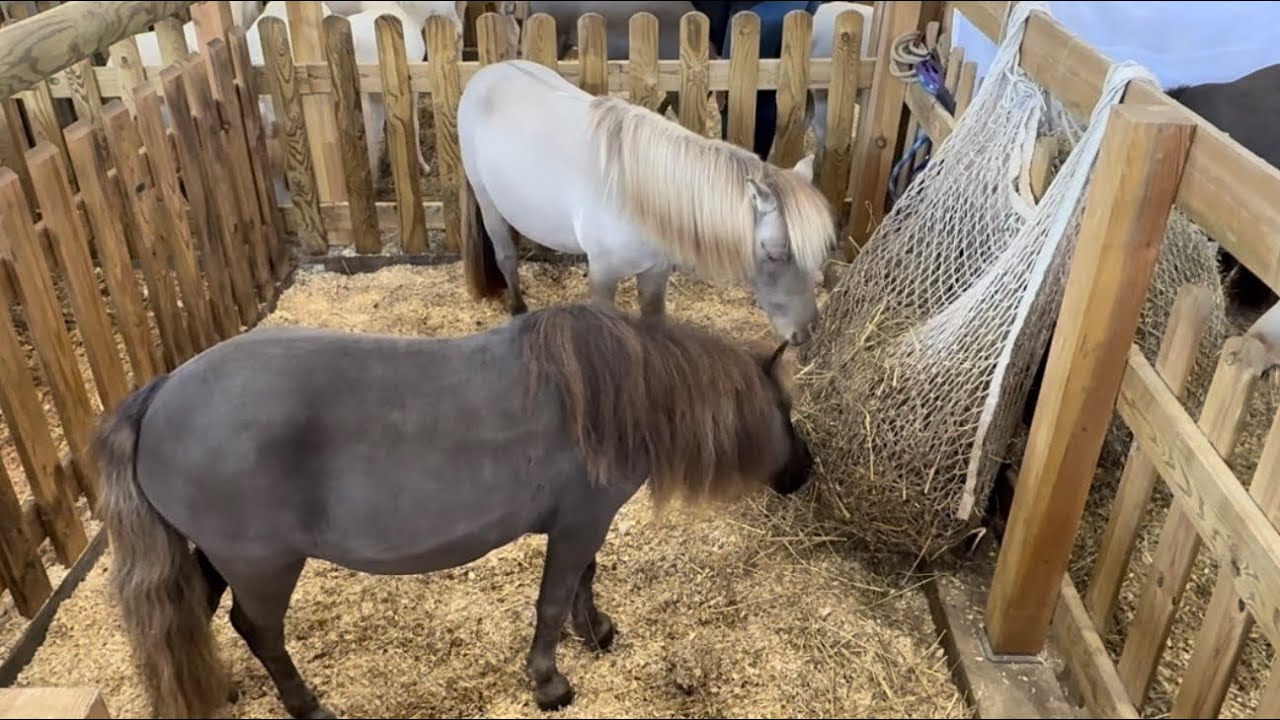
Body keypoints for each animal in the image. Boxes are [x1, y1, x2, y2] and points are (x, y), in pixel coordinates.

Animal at [95, 302, 815, 719]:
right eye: (784, 408)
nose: (804, 472)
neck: (612, 397)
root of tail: (160, 393)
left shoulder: (586, 523)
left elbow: (585, 581)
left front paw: (597, 631)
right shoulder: (578, 523)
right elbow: (553, 600)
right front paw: (550, 683)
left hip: (215, 557)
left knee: (194, 610)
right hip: (264, 567)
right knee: (258, 630)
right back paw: (306, 706)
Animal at [457, 59, 835, 346]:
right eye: (774, 254)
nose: (806, 332)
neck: (636, 195)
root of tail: (486, 72)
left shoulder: (655, 272)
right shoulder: (603, 275)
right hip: (487, 202)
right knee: (505, 255)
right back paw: (518, 309)